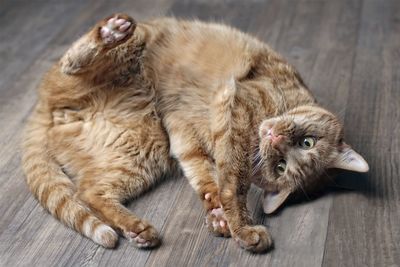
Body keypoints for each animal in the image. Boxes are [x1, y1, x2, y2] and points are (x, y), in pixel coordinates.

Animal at [21, 14, 368, 253]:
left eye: (280, 166)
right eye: (306, 142)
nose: (274, 139)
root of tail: (45, 104)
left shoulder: (183, 135)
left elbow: (207, 176)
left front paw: (218, 215)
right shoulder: (233, 107)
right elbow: (233, 184)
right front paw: (242, 228)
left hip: (142, 152)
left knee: (91, 192)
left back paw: (137, 230)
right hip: (126, 51)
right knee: (72, 63)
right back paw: (109, 32)